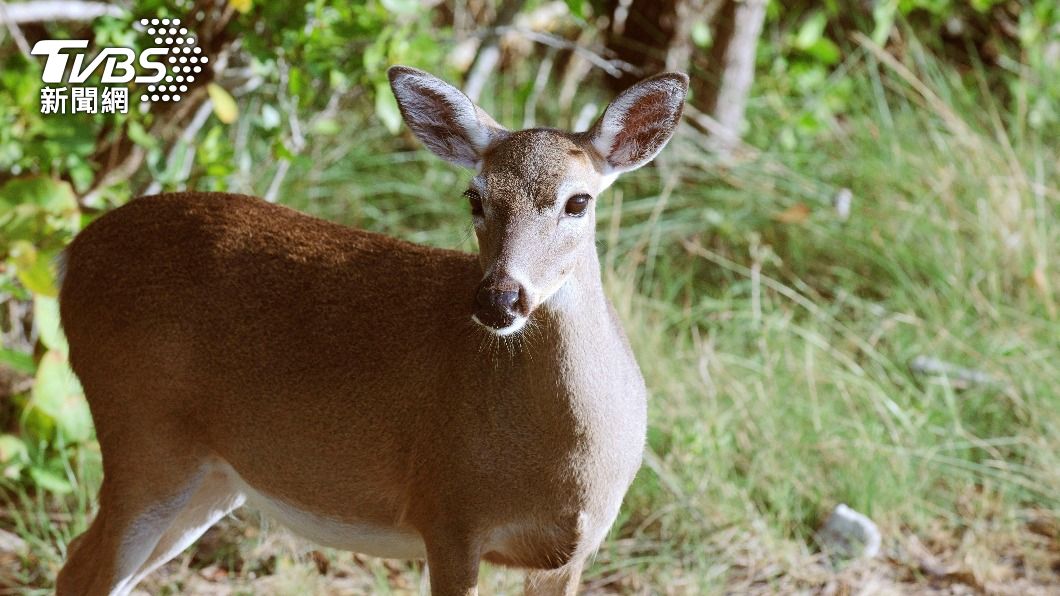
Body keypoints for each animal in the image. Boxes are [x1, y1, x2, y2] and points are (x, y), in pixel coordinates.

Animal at [54, 65, 688, 596]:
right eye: (475, 196)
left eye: (578, 201)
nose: (498, 298)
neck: (564, 465)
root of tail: (69, 256)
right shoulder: (447, 512)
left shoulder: (571, 551)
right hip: (141, 429)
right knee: (82, 569)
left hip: (212, 475)